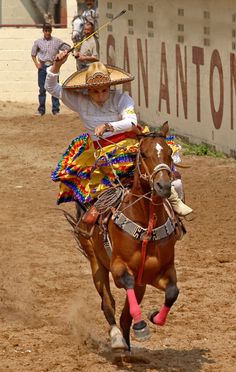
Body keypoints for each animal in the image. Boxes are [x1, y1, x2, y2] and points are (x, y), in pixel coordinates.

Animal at [72, 123, 179, 352]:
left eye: (169, 153)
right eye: (144, 153)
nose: (163, 186)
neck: (147, 227)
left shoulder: (158, 273)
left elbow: (173, 292)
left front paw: (154, 317)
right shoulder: (119, 268)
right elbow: (125, 284)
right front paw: (141, 326)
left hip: (141, 284)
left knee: (124, 315)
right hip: (96, 263)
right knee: (108, 303)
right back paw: (117, 338)